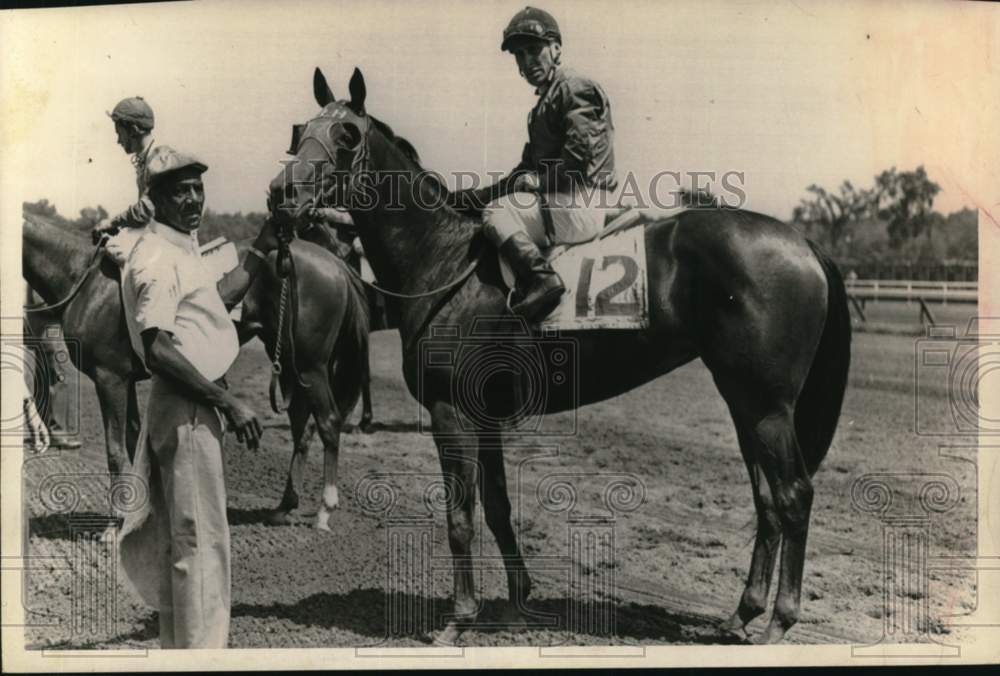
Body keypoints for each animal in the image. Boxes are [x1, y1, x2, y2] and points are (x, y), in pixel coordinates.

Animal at [24, 214, 376, 532]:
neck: (84, 280)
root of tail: (336, 264)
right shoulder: (126, 379)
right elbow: (134, 440)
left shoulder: (110, 378)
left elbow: (115, 452)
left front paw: (114, 526)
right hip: (290, 361)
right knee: (302, 423)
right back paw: (284, 506)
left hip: (311, 364)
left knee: (328, 422)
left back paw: (324, 510)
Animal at [272, 68, 852, 644]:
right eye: (300, 129)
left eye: (347, 136)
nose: (281, 194)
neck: (442, 259)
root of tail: (801, 243)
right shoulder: (485, 417)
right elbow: (498, 507)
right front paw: (517, 601)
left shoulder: (450, 412)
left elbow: (461, 516)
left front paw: (460, 618)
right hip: (743, 401)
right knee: (767, 498)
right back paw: (741, 614)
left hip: (767, 405)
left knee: (794, 494)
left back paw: (778, 622)